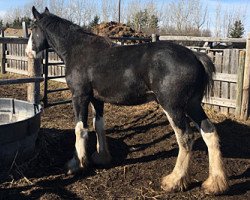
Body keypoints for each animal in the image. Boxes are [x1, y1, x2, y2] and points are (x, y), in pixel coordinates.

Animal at [26, 7, 229, 195]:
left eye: (33, 28)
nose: (29, 52)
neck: (78, 50)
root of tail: (195, 56)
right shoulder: (97, 99)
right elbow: (98, 125)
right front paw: (102, 157)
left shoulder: (80, 96)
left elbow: (80, 129)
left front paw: (77, 164)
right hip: (192, 105)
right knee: (209, 132)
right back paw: (215, 183)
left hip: (173, 107)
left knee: (186, 137)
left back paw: (174, 180)